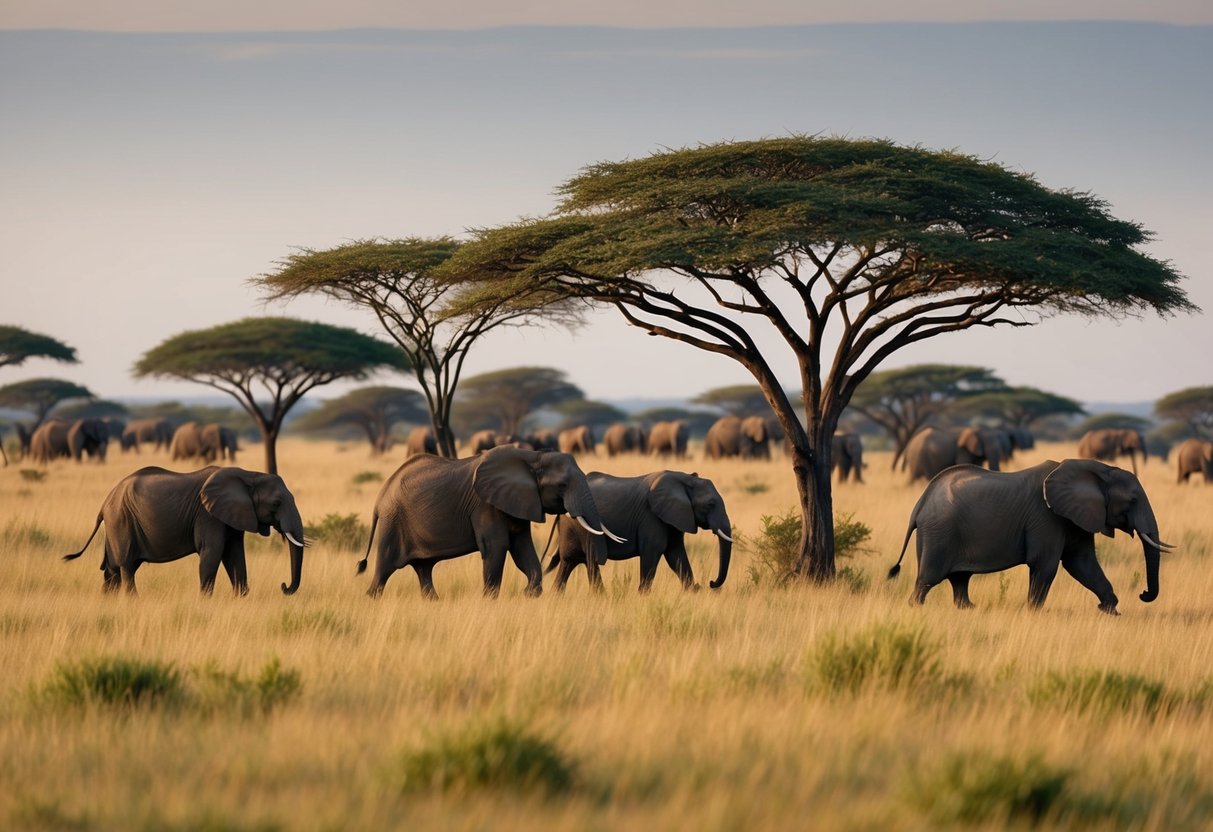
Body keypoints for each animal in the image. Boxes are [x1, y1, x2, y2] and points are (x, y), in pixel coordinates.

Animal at [62, 466, 307, 596]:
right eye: (276, 503)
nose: (283, 586)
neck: (249, 475)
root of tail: (104, 503)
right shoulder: (208, 516)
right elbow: (212, 554)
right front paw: (205, 601)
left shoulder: (233, 516)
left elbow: (235, 555)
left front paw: (241, 597)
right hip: (121, 521)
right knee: (126, 567)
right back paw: (132, 600)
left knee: (112, 570)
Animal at [357, 445, 619, 598]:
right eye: (562, 486)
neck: (533, 457)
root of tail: (380, 497)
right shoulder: (485, 505)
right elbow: (498, 546)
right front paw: (490, 600)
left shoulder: (519, 502)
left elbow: (523, 549)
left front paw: (529, 594)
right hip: (393, 521)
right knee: (385, 567)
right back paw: (371, 598)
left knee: (424, 568)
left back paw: (433, 602)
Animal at [545, 470, 733, 593]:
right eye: (710, 504)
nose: (710, 583)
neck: (685, 479)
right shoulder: (651, 517)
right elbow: (652, 552)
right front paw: (643, 594)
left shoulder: (673, 518)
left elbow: (676, 555)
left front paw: (692, 590)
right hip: (583, 525)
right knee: (591, 559)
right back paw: (601, 596)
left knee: (568, 561)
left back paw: (556, 595)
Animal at [887, 459, 1171, 614]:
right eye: (1132, 501)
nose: (1143, 594)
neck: (1094, 468)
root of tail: (919, 505)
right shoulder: (1046, 518)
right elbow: (1046, 565)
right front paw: (1034, 613)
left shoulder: (1073, 518)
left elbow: (1081, 563)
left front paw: (1110, 611)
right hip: (939, 533)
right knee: (928, 579)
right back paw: (916, 607)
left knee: (960, 579)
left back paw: (969, 609)